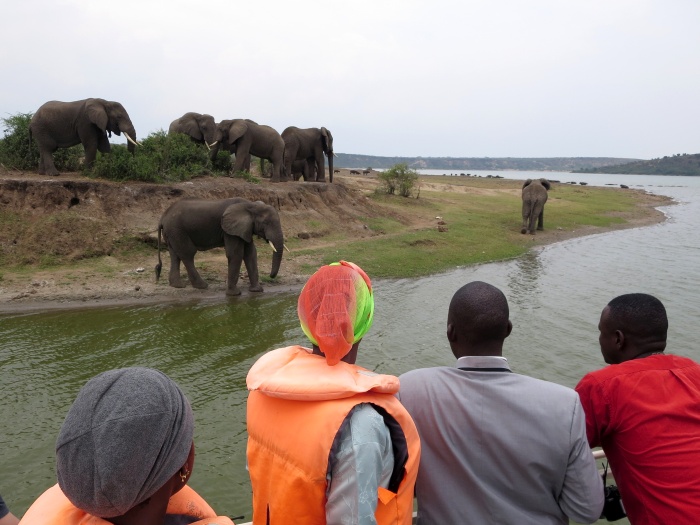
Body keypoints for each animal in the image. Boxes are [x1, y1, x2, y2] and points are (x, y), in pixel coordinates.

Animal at [155, 198, 285, 296]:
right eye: (266, 223)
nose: (271, 276)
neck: (251, 205)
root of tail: (162, 217)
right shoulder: (230, 230)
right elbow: (236, 254)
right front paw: (234, 294)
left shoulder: (244, 228)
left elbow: (251, 253)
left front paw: (256, 291)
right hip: (177, 230)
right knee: (188, 254)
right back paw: (202, 286)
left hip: (172, 232)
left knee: (175, 255)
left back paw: (178, 285)